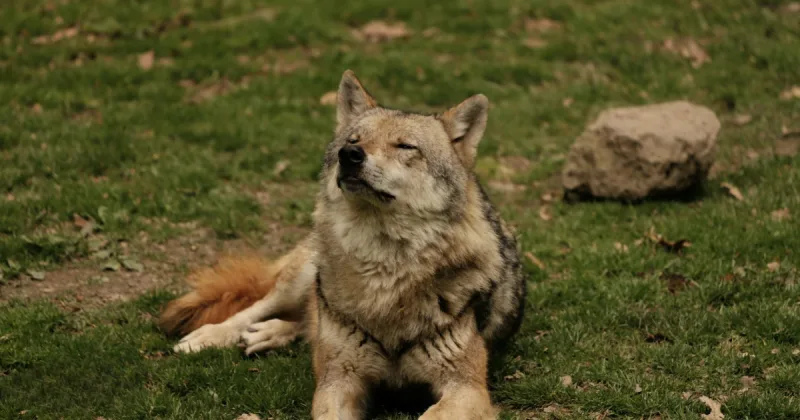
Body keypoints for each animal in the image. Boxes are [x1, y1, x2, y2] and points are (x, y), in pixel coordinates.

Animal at [160, 70, 527, 419]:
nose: (348, 155)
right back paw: (211, 336)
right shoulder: (338, 380)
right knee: (263, 308)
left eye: (405, 147)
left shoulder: (467, 388)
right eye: (355, 139)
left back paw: (268, 334)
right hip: (303, 276)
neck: (384, 272)